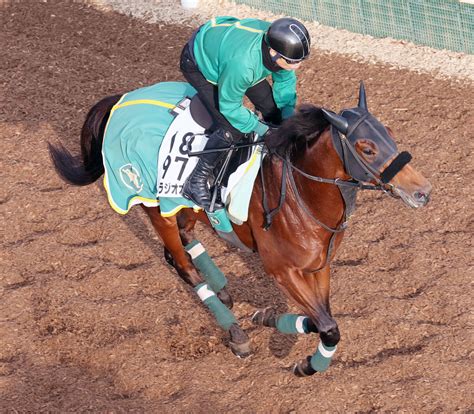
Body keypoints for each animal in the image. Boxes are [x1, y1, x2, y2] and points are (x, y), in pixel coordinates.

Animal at [49, 81, 434, 376]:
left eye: (390, 134)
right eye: (366, 148)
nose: (423, 192)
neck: (302, 194)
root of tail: (120, 100)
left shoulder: (319, 267)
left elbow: (325, 319)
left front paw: (269, 319)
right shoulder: (282, 270)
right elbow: (328, 327)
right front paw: (304, 363)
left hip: (184, 206)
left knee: (184, 243)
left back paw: (222, 288)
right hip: (155, 206)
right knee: (181, 263)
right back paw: (234, 331)